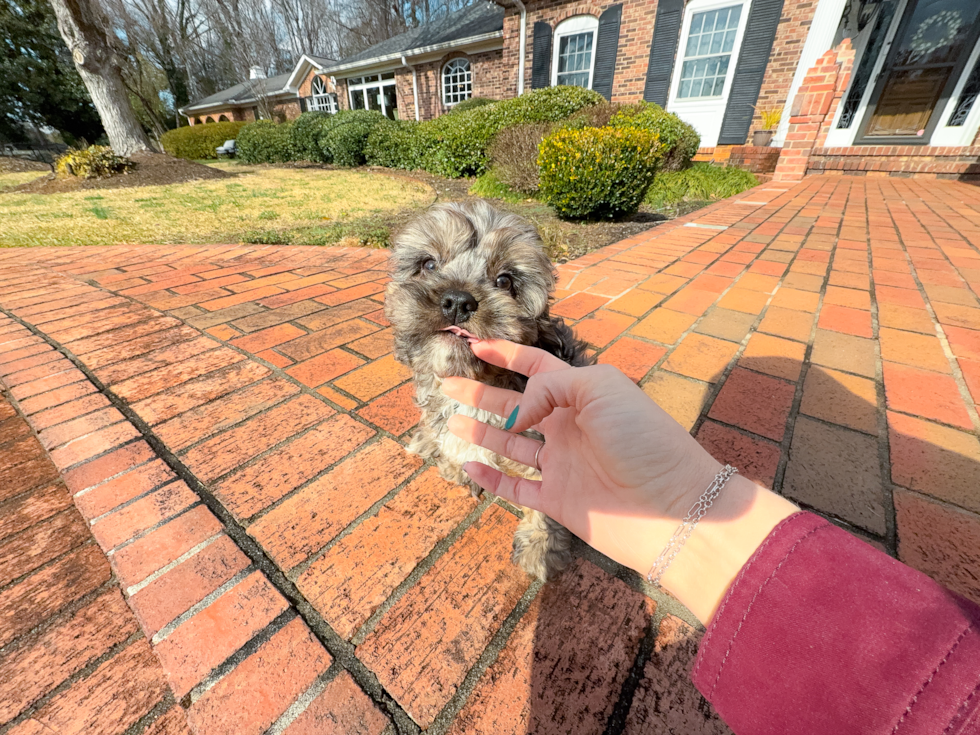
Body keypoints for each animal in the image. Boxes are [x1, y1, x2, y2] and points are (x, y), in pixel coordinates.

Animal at [384, 198, 588, 584]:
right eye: (428, 264)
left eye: (505, 280)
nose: (457, 301)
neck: (475, 386)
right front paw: (456, 465)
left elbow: (549, 501)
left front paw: (541, 548)